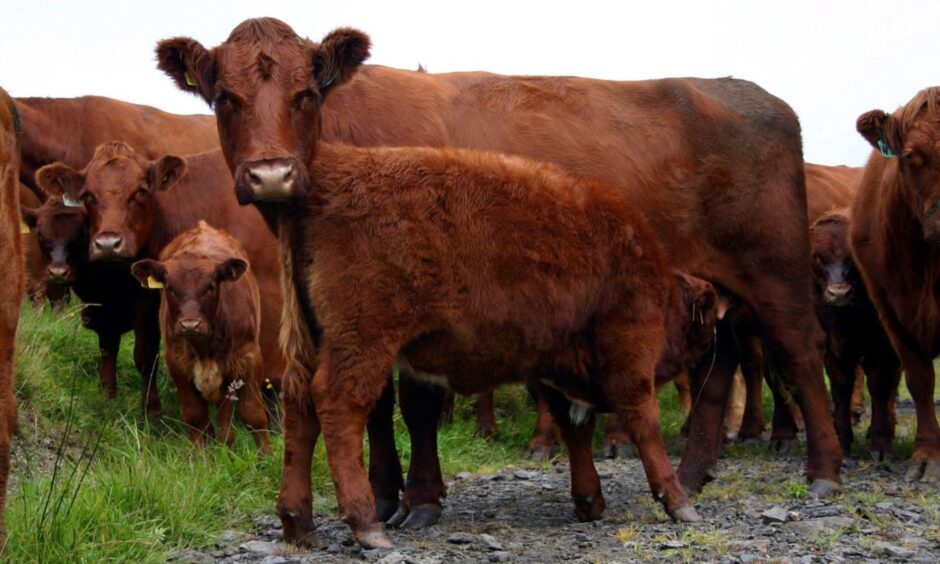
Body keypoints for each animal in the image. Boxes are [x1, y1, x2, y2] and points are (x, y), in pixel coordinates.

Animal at [130, 221, 268, 454]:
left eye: (210, 287)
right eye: (170, 288)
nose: (190, 324)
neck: (207, 346)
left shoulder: (248, 356)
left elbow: (253, 413)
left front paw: (264, 456)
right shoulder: (177, 361)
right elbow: (196, 416)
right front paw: (200, 457)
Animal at [158, 17, 840, 504]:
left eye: (305, 94)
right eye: (224, 97)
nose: (271, 173)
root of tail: (747, 92)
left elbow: (415, 405)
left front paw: (417, 498)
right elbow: (375, 407)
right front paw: (386, 495)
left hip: (776, 275)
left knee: (802, 355)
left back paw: (826, 468)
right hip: (720, 290)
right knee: (720, 368)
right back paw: (695, 474)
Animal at [812, 209, 900, 456]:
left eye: (852, 256)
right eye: (818, 257)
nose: (839, 293)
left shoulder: (883, 348)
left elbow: (879, 386)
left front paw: (880, 442)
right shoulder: (830, 349)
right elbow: (841, 388)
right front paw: (842, 439)